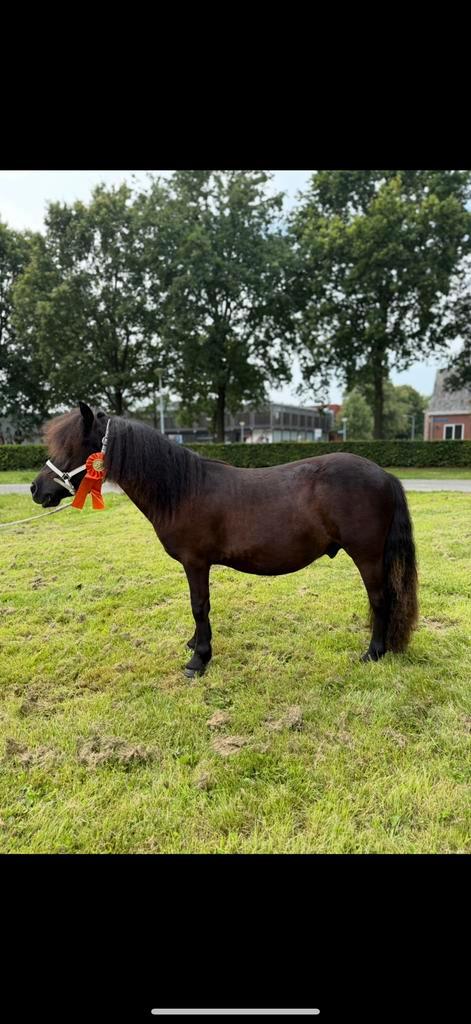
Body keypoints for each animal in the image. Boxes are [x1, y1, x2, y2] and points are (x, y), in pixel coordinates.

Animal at [31, 402, 418, 677]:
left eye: (73, 448)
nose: (36, 489)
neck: (182, 489)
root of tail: (385, 476)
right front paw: (193, 645)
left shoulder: (196, 562)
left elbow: (199, 606)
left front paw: (198, 661)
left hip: (367, 556)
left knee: (381, 599)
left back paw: (373, 653)